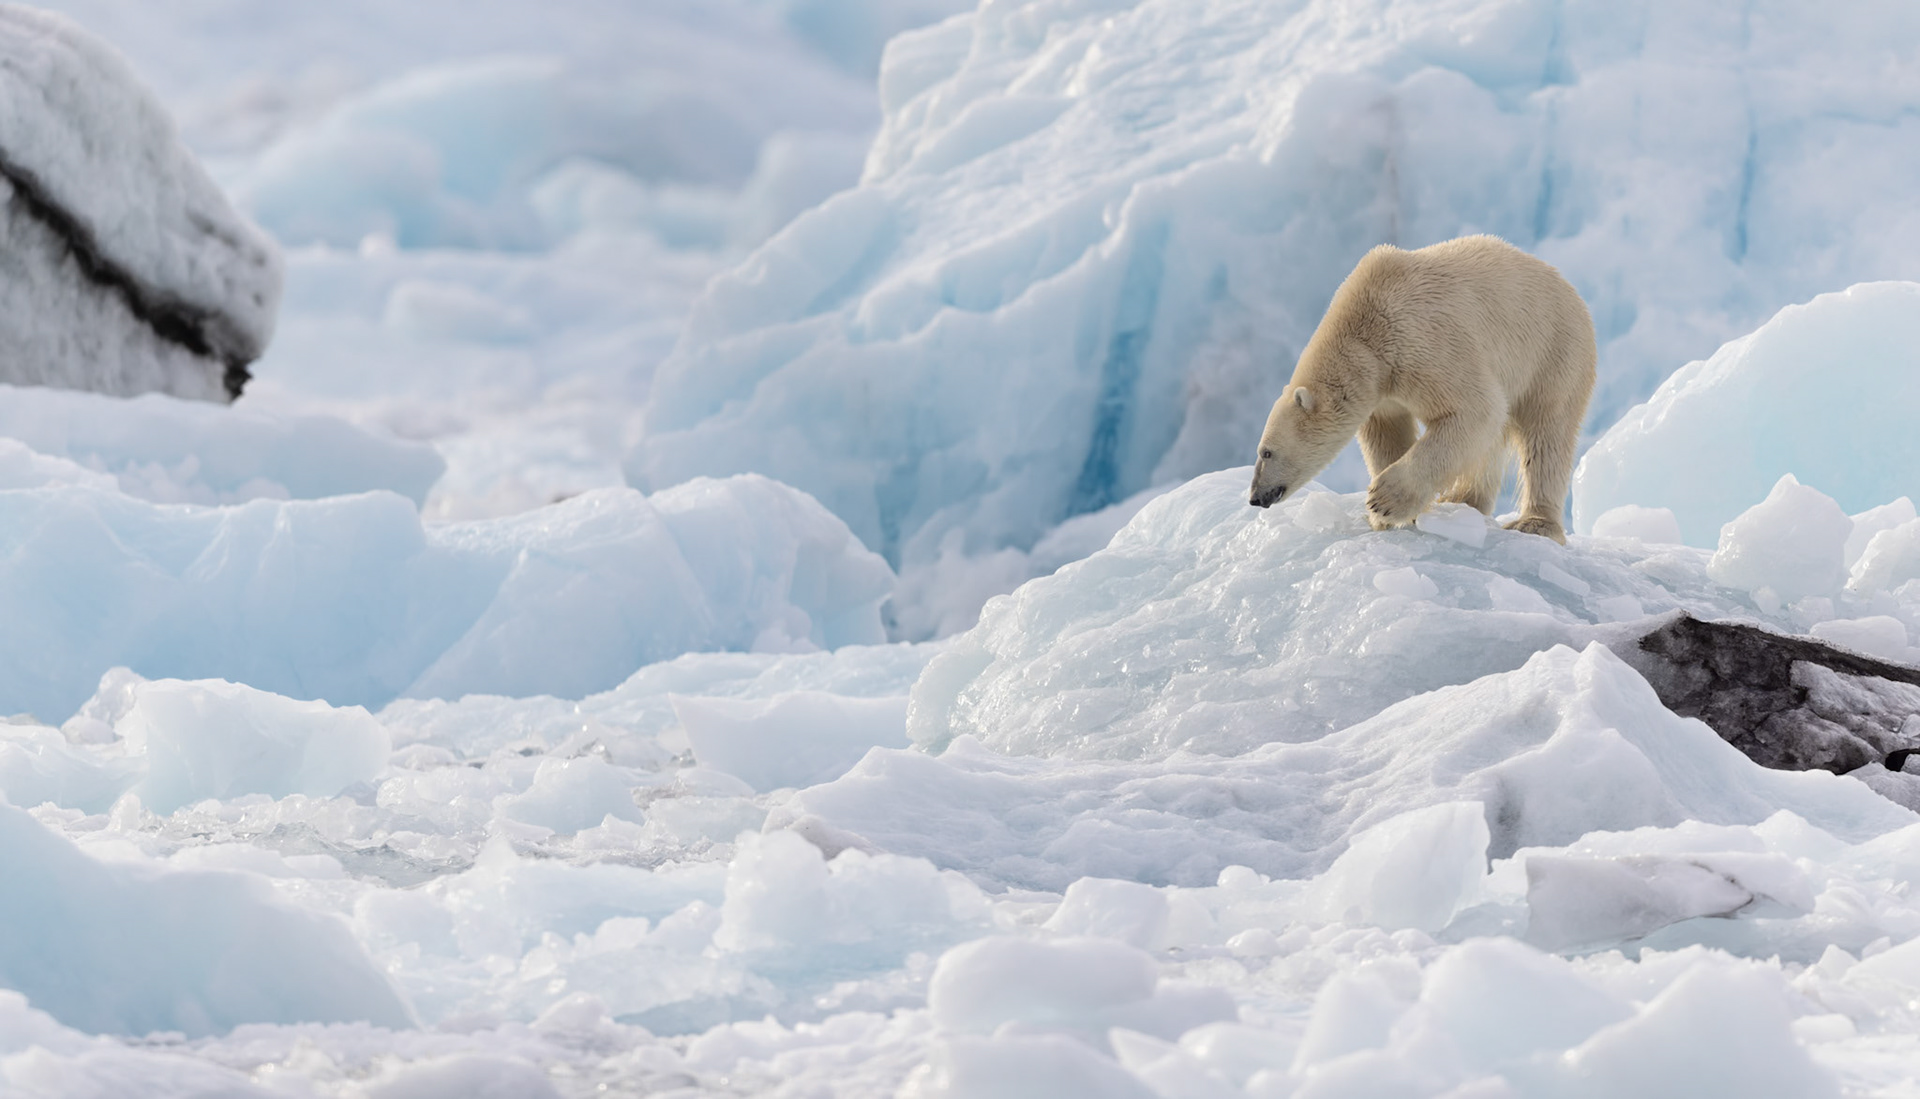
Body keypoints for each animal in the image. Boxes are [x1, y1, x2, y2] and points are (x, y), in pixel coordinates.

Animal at [1247, 235, 1596, 543]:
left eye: (1266, 451)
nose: (1254, 497)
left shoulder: (1422, 343)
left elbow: (1476, 409)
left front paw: (1384, 500)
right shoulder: (1384, 392)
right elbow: (1388, 434)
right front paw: (1390, 516)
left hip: (1552, 352)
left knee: (1547, 434)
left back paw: (1534, 523)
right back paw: (1462, 499)